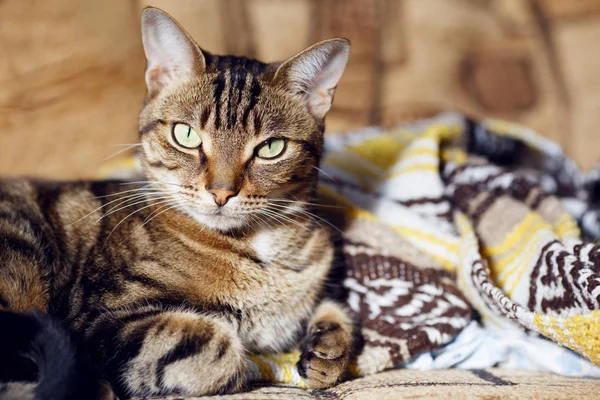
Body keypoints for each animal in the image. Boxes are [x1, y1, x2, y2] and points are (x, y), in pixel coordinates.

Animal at [0, 6, 354, 400]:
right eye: (185, 135)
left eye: (271, 148)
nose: (221, 192)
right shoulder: (101, 317)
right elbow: (220, 348)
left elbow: (335, 312)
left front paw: (327, 350)